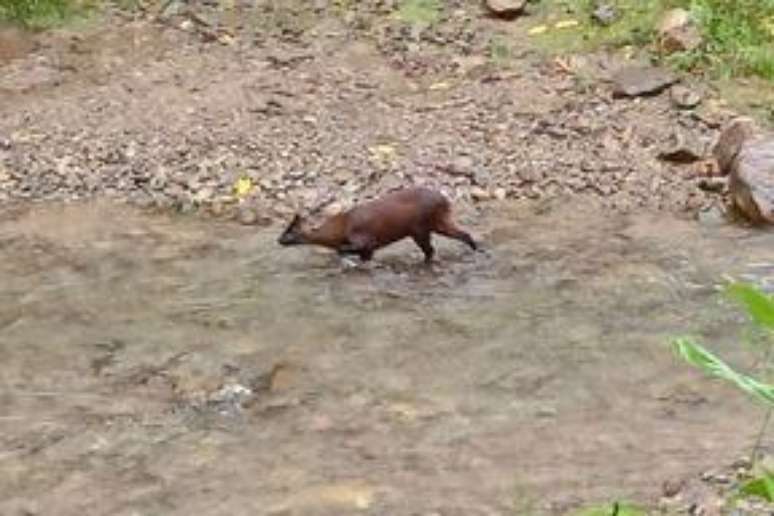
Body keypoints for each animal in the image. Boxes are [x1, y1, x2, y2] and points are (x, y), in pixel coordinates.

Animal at [276, 186, 482, 264]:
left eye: (289, 231)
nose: (278, 240)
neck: (341, 228)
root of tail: (445, 200)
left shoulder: (365, 239)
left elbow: (346, 250)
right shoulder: (367, 248)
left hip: (422, 227)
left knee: (432, 249)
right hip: (433, 225)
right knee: (458, 237)